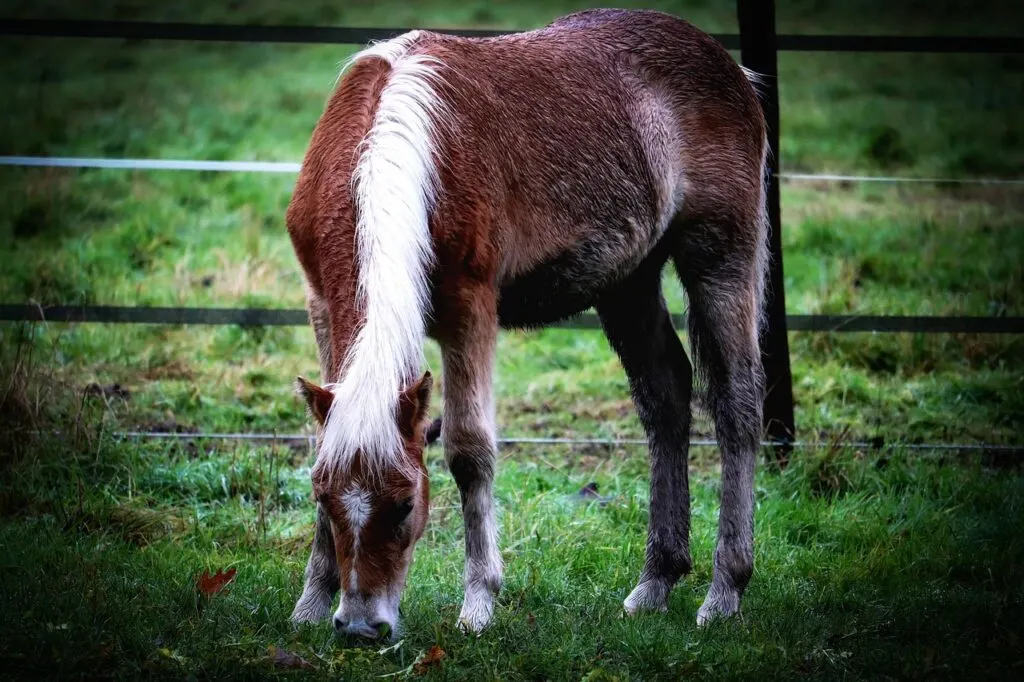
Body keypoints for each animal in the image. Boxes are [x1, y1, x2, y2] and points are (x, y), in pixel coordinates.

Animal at [285, 8, 769, 639]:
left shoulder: (469, 308)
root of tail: (734, 70)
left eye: (406, 503)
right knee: (665, 395)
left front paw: (478, 603)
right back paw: (655, 582)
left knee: (737, 406)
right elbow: (325, 438)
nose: (364, 627)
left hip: (720, 261)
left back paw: (724, 591)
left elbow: (469, 450)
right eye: (324, 499)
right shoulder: (320, 304)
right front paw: (312, 602)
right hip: (628, 282)